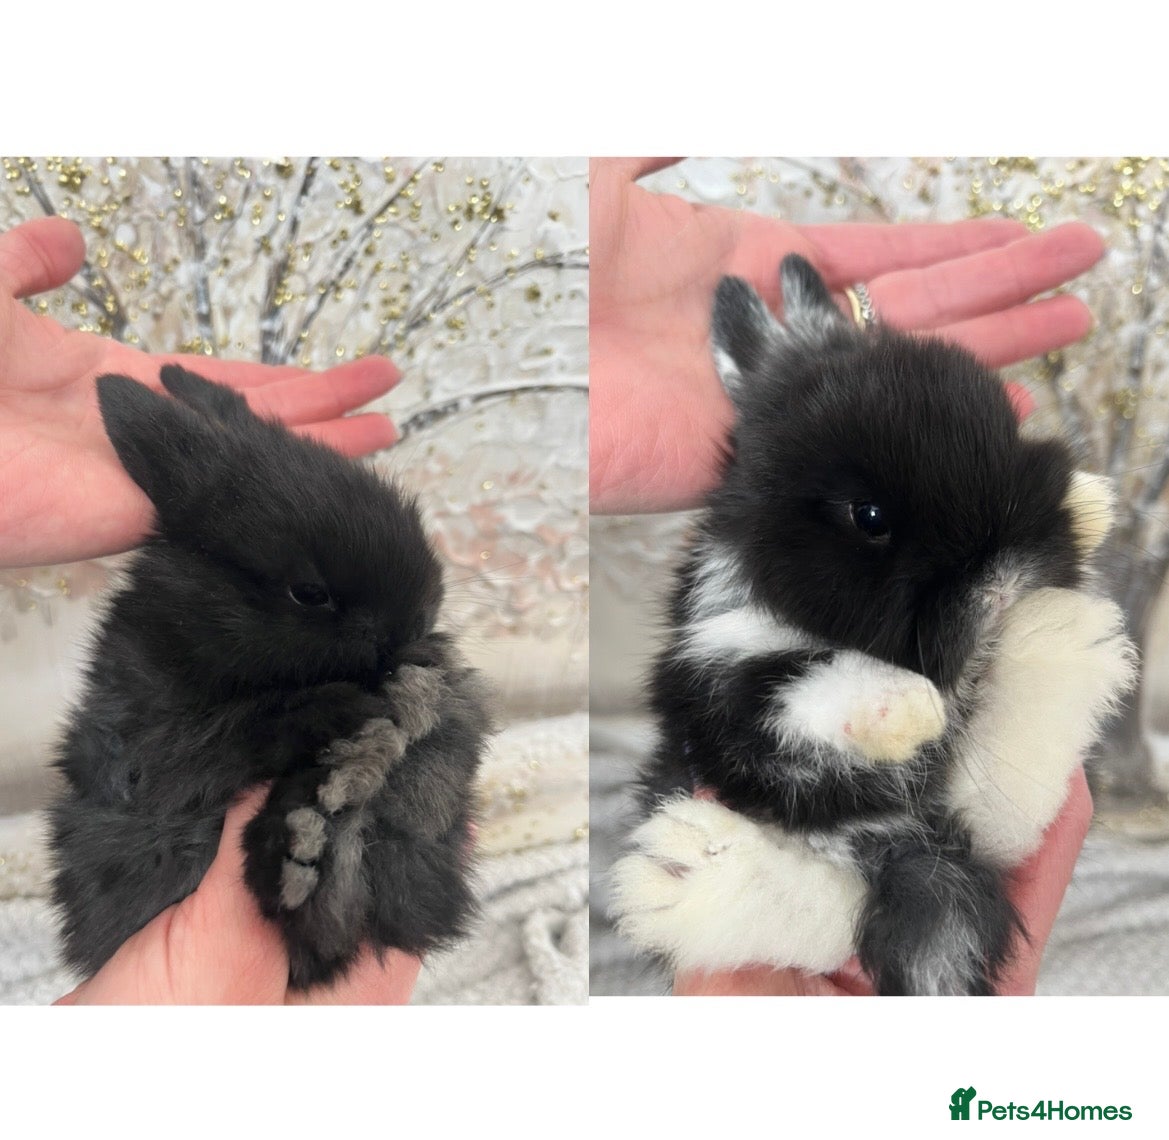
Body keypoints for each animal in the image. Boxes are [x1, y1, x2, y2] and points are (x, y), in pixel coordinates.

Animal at [48, 365, 493, 989]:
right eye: (308, 592)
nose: (417, 623)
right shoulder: (145, 749)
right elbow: (244, 730)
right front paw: (350, 705)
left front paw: (423, 680)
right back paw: (306, 842)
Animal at [610, 255, 1136, 995]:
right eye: (870, 516)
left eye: (1007, 436)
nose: (1002, 580)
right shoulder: (716, 676)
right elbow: (795, 679)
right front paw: (907, 706)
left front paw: (1091, 505)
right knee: (847, 906)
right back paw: (679, 874)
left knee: (995, 819)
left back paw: (1067, 639)